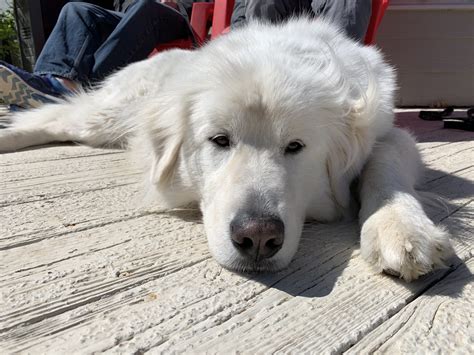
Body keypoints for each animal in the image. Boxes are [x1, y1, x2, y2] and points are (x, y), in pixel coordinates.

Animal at [0, 18, 452, 280]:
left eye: (295, 146)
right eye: (219, 140)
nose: (258, 237)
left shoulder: (389, 133)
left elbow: (386, 161)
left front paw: (400, 226)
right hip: (104, 120)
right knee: (53, 118)